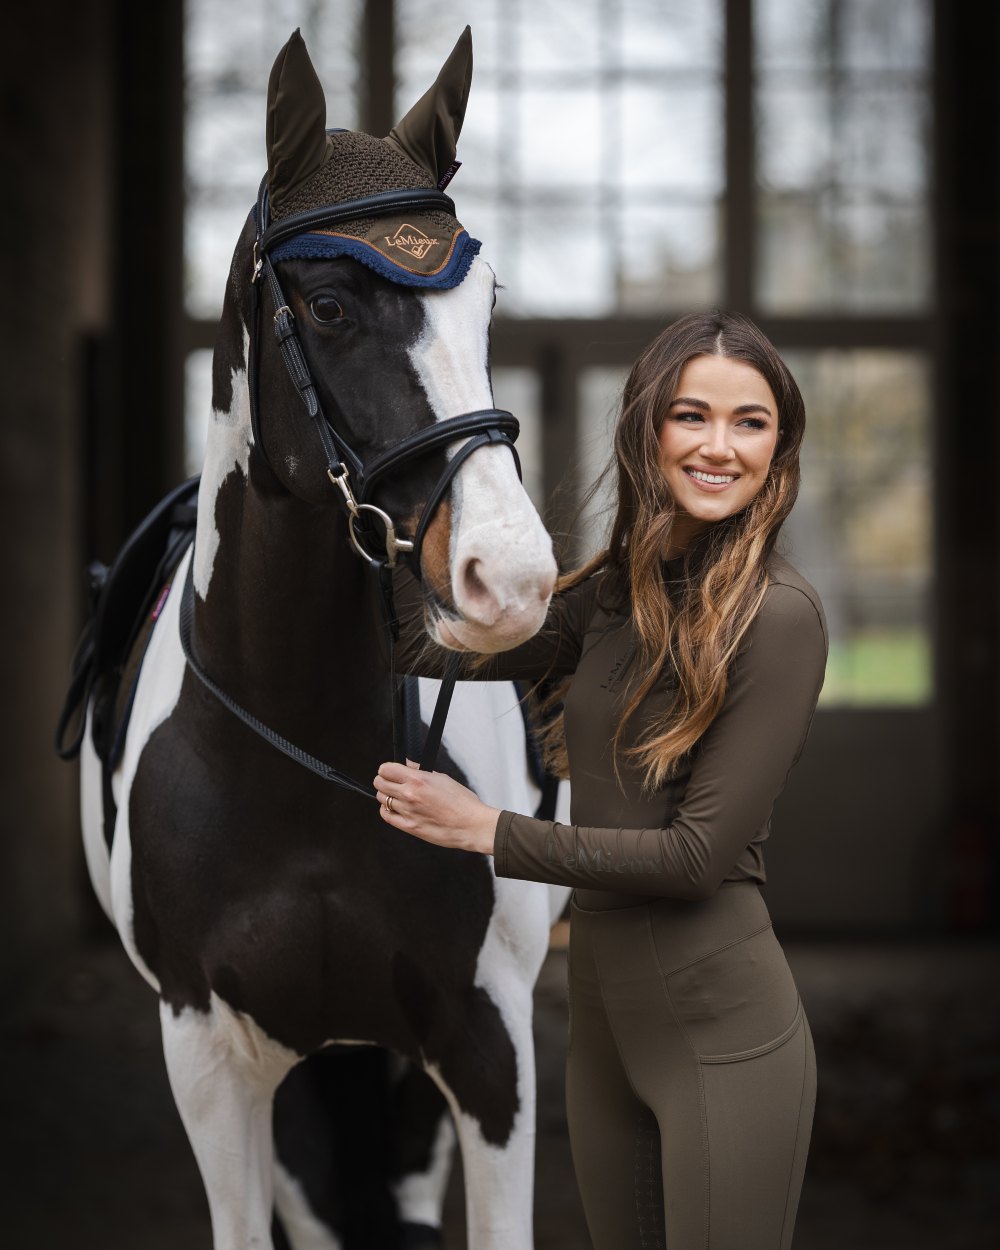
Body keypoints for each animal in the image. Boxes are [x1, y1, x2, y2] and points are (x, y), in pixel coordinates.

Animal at [62, 29, 570, 1250]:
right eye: (331, 304)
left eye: (486, 299)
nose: (509, 577)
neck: (309, 751)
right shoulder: (211, 1056)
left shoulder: (488, 1045)